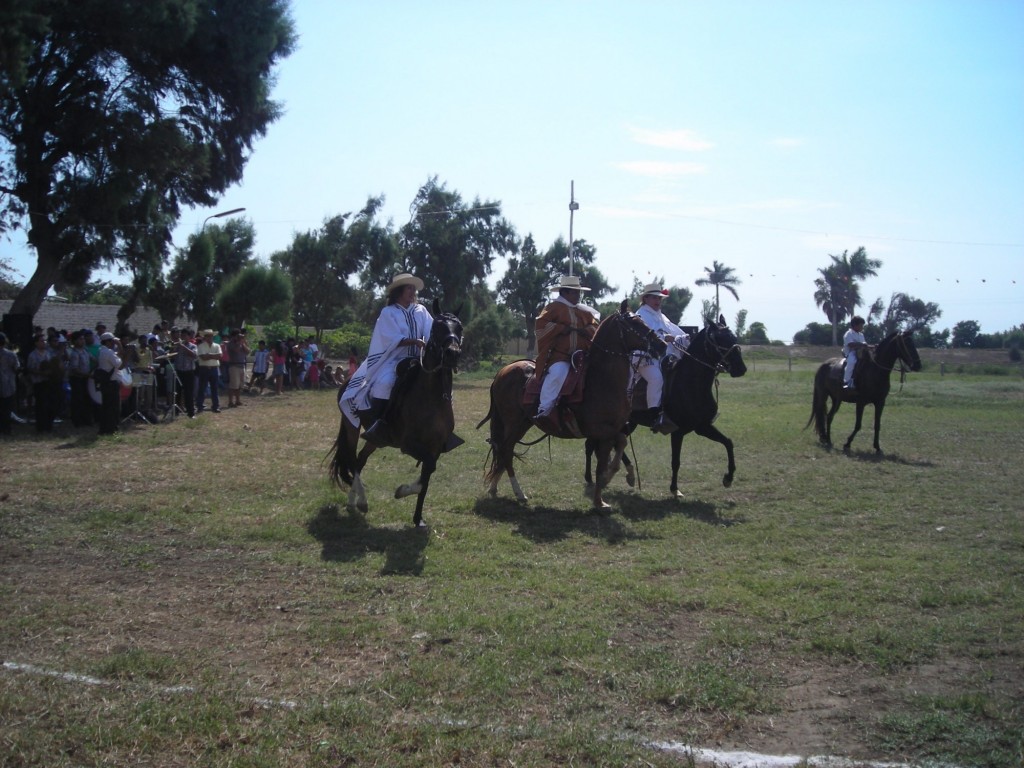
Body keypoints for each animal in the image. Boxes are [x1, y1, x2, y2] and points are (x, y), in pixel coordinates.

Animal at [327, 303, 464, 532]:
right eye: (437, 327)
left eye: (459, 328)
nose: (452, 354)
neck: (432, 397)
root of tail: (347, 381)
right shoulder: (408, 444)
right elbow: (426, 472)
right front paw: (402, 491)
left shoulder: (435, 447)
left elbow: (426, 476)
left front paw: (418, 518)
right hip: (351, 426)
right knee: (353, 460)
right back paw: (361, 501)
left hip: (375, 439)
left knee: (360, 460)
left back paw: (354, 502)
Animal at [477, 301, 663, 512]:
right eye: (634, 322)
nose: (662, 344)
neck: (601, 380)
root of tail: (503, 371)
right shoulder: (601, 432)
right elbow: (601, 466)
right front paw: (600, 500)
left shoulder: (612, 429)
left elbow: (620, 445)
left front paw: (618, 480)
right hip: (513, 422)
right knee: (506, 451)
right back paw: (519, 493)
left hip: (524, 423)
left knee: (503, 451)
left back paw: (495, 488)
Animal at [589, 317, 749, 499]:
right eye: (719, 339)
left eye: (733, 337)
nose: (740, 368)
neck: (690, 384)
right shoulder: (678, 432)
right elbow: (675, 461)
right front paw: (674, 489)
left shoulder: (703, 427)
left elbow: (728, 442)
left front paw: (728, 478)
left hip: (629, 424)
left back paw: (622, 474)